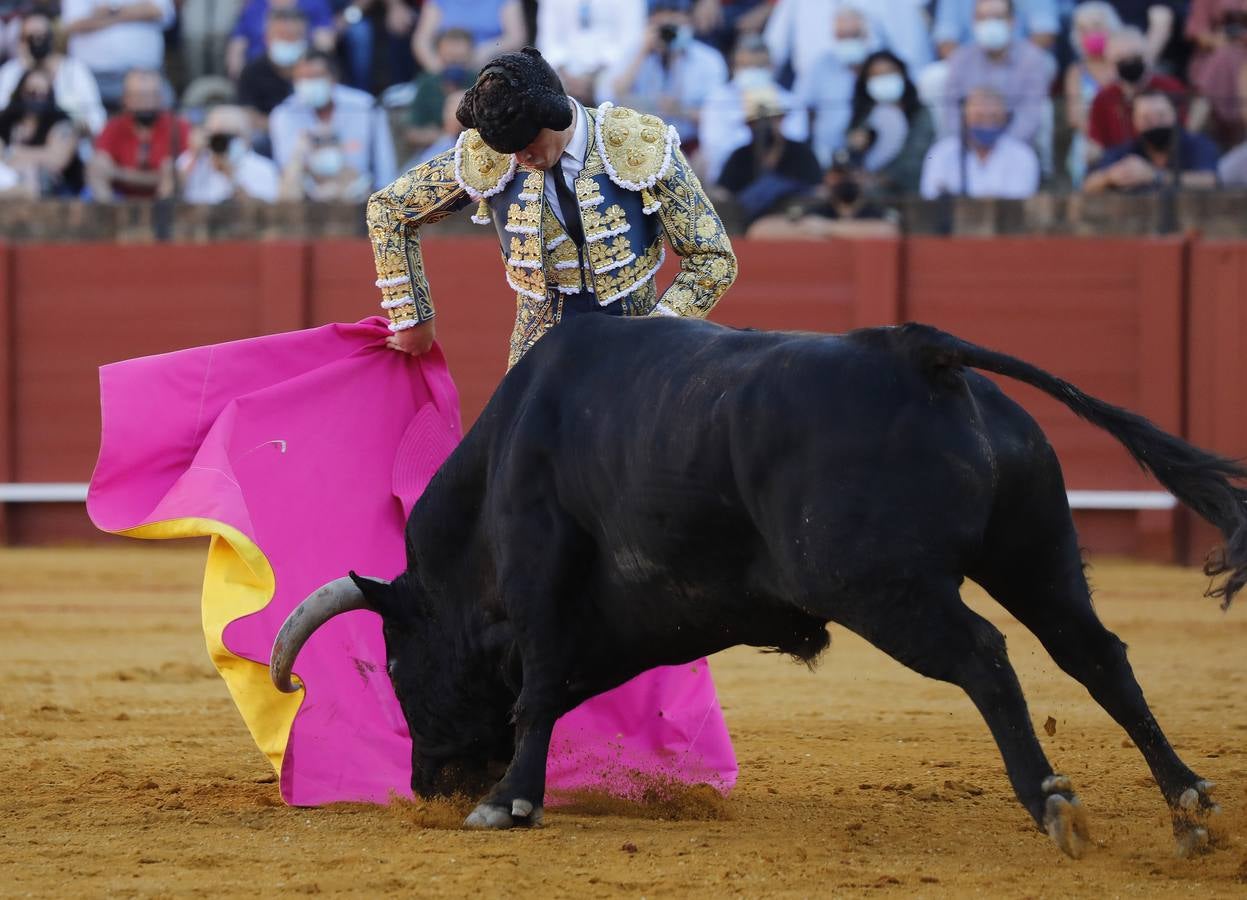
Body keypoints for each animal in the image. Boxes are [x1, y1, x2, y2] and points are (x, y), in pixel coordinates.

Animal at [265, 317, 1237, 857]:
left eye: (396, 668)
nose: (428, 788)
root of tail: (917, 352)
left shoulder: (541, 576)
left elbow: (534, 689)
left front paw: (509, 802)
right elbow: (553, 686)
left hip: (880, 587)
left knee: (985, 658)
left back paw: (1051, 803)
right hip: (1034, 554)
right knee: (1094, 654)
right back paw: (1187, 805)